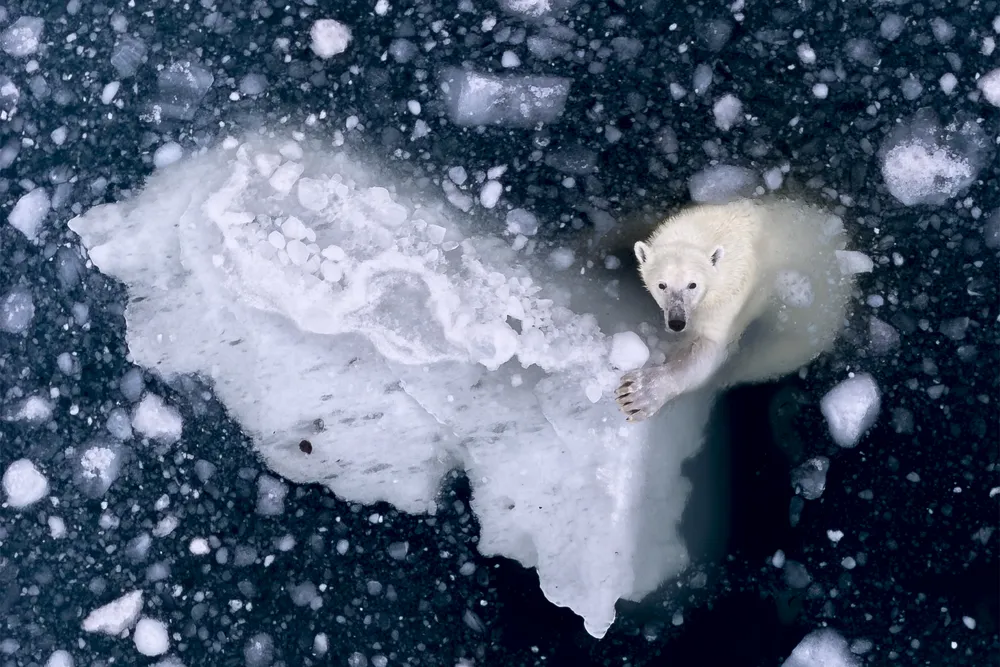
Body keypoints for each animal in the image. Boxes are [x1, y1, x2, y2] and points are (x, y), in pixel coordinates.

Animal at [614, 197, 854, 422]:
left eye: (693, 284)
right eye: (661, 284)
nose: (677, 322)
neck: (715, 229)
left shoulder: (731, 291)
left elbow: (710, 347)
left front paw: (638, 393)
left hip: (805, 326)